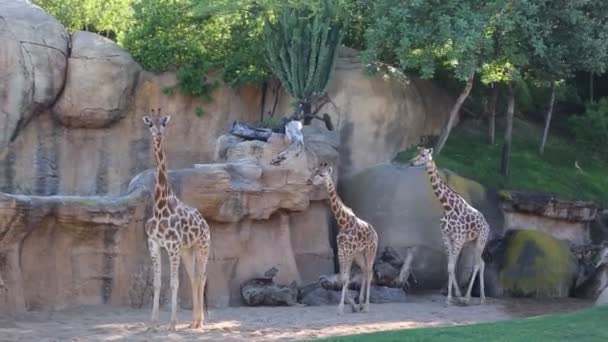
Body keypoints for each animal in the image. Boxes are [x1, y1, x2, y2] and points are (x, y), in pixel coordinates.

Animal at [142, 110, 211, 332]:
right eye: (150, 124)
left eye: (164, 123)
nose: (158, 134)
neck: (160, 205)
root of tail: (205, 222)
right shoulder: (154, 243)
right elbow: (157, 283)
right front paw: (152, 323)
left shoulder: (172, 246)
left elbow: (174, 283)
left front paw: (172, 324)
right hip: (187, 250)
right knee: (194, 276)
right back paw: (193, 321)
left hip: (203, 246)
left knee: (202, 275)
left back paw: (200, 321)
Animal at [312, 163, 378, 316]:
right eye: (315, 171)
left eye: (322, 174)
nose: (310, 181)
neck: (343, 222)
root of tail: (375, 232)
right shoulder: (342, 252)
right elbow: (343, 278)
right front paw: (352, 306)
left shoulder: (348, 252)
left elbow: (345, 279)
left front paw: (341, 308)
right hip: (359, 255)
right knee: (364, 272)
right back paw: (361, 304)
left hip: (370, 251)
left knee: (370, 273)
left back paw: (366, 306)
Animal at [408, 147, 490, 304]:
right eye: (416, 153)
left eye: (423, 155)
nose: (411, 162)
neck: (448, 207)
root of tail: (488, 225)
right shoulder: (447, 237)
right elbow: (450, 267)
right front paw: (453, 295)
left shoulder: (458, 238)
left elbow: (452, 266)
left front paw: (452, 297)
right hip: (471, 242)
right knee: (482, 263)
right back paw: (481, 297)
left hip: (481, 240)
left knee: (477, 264)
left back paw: (468, 297)